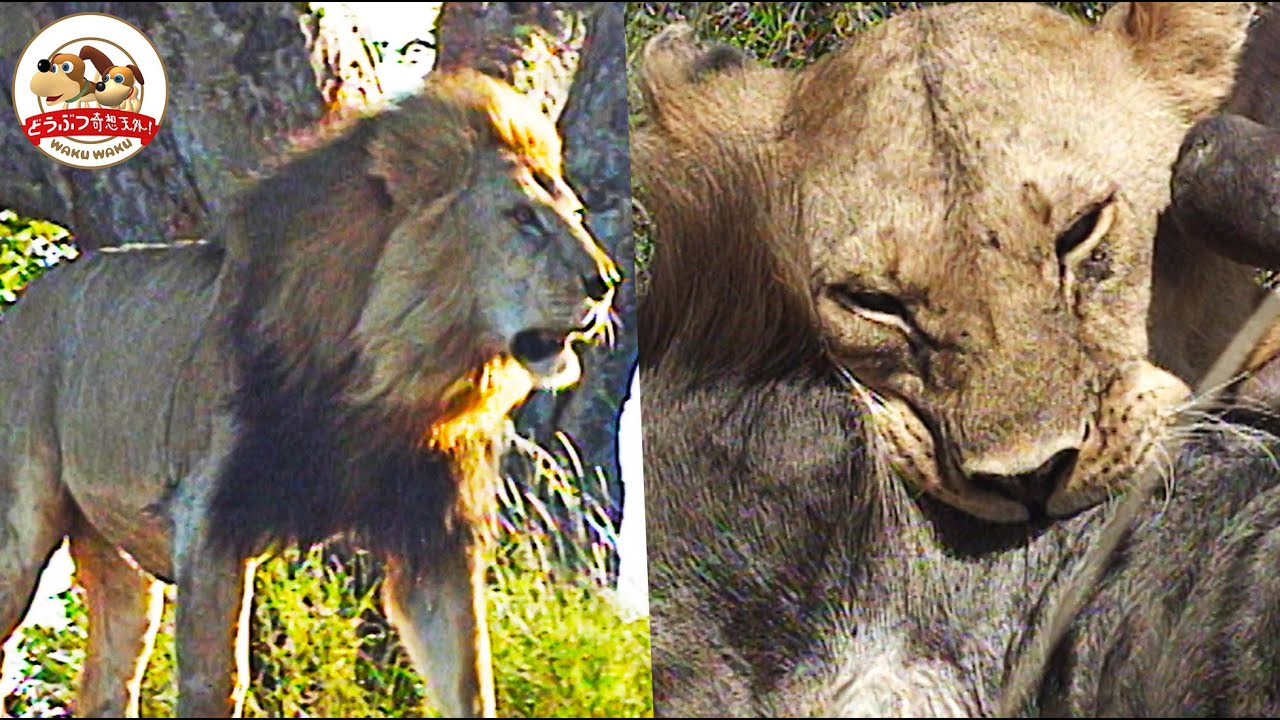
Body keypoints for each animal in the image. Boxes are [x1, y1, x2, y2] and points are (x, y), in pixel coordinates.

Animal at [0, 69, 619, 718]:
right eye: (522, 218)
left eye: (575, 213)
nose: (605, 282)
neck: (387, 381)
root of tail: (23, 305)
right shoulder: (209, 520)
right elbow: (217, 683)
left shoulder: (437, 539)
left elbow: (470, 683)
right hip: (20, 529)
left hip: (119, 563)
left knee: (106, 685)